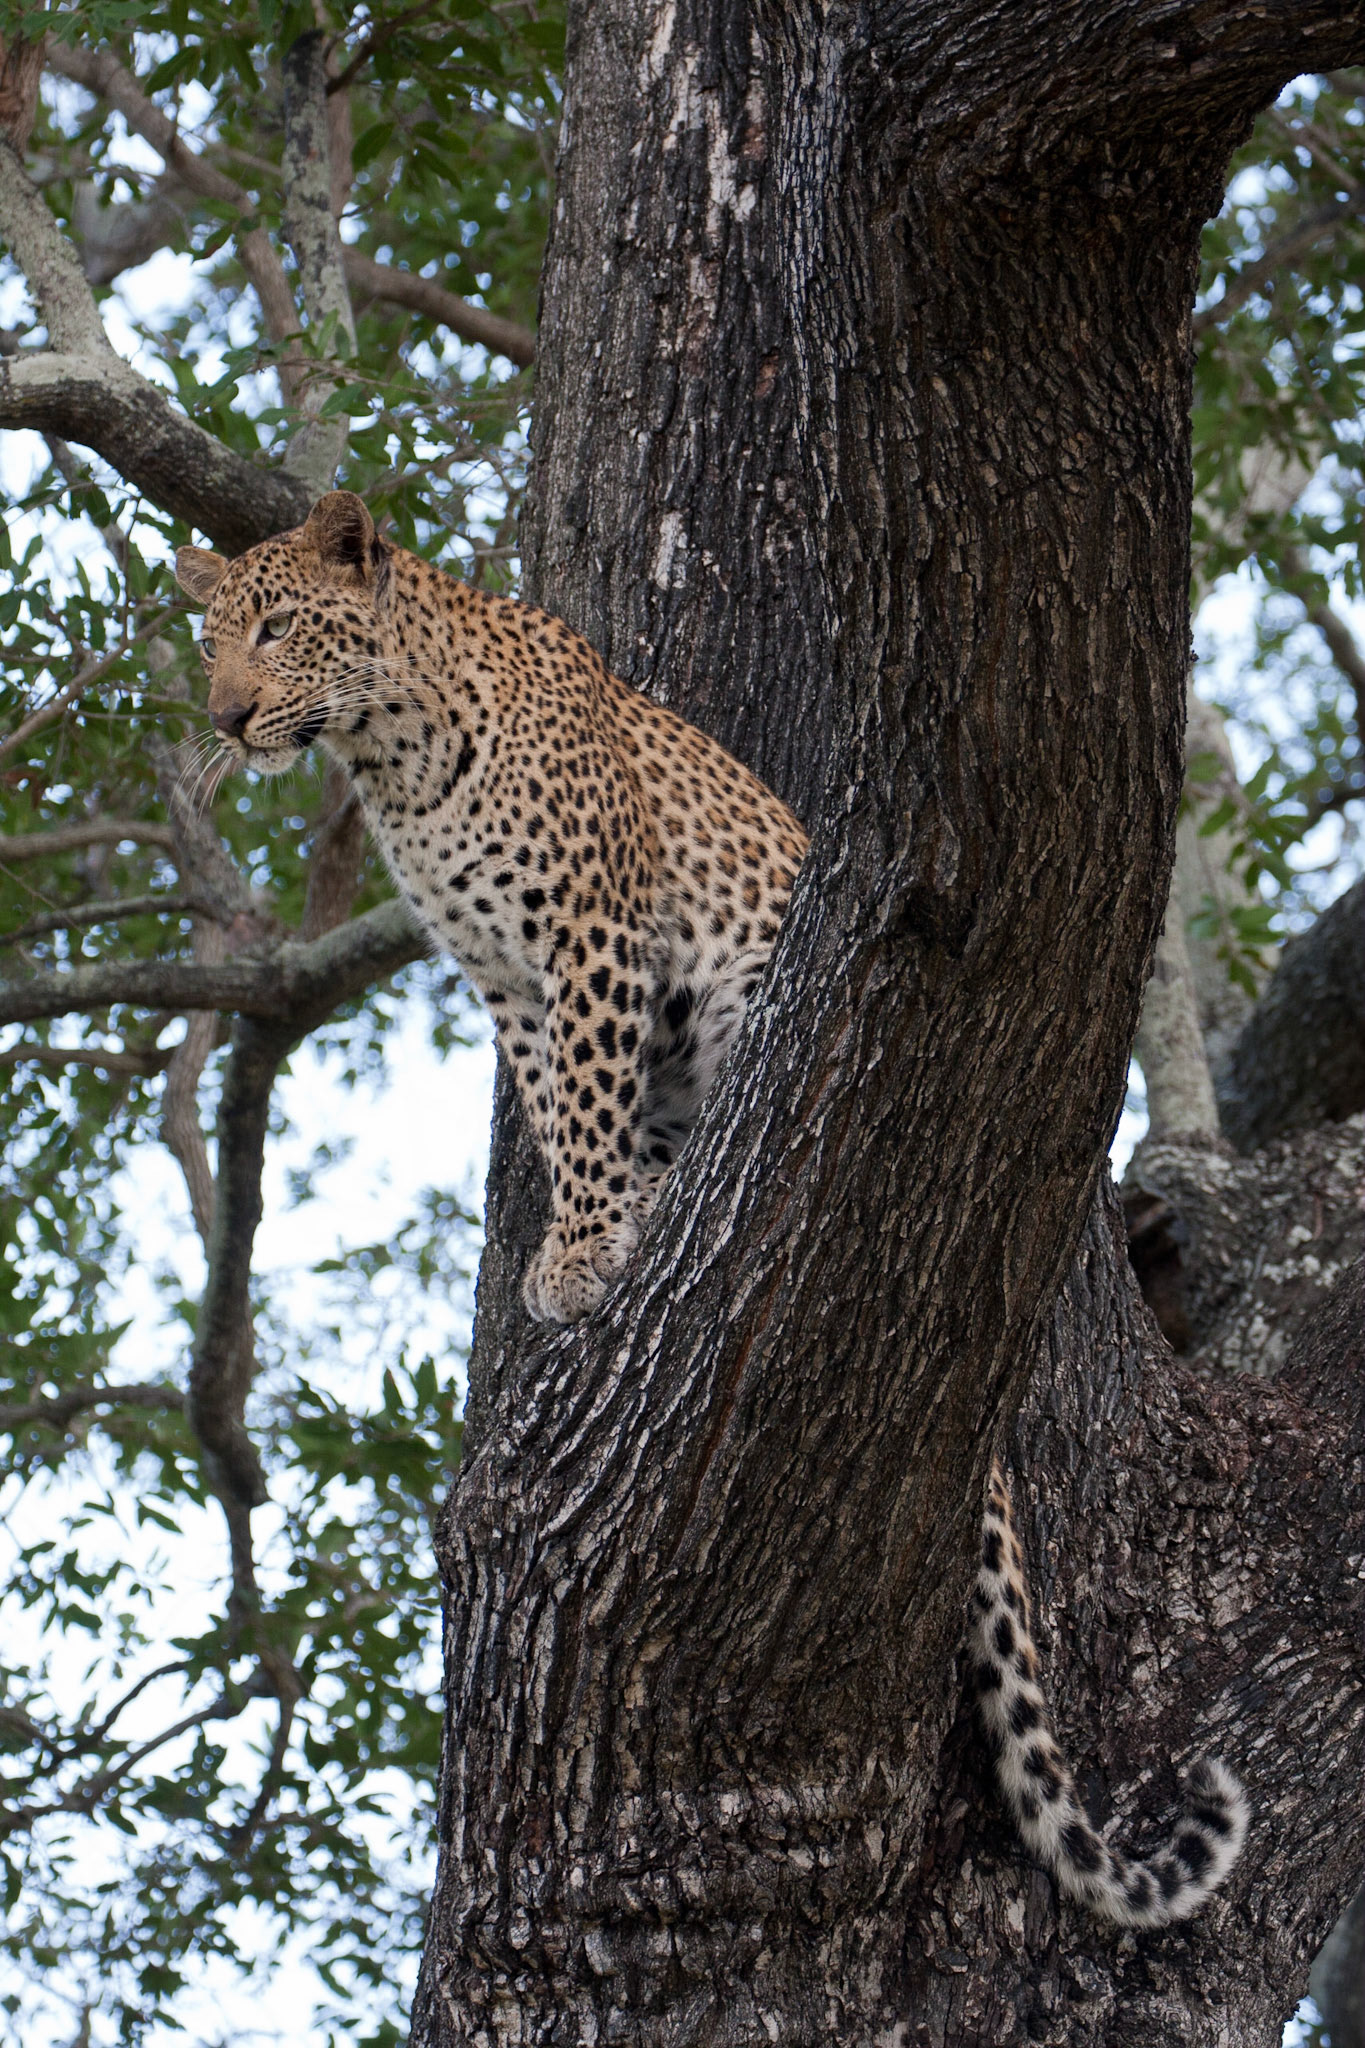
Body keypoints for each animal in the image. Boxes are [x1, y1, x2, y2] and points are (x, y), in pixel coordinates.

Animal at [175, 489, 1248, 1925]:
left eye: (279, 629)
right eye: (213, 644)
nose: (231, 717)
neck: (392, 752)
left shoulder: (591, 932)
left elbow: (584, 1095)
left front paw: (585, 1248)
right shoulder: (505, 981)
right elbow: (561, 1107)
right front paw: (588, 1221)